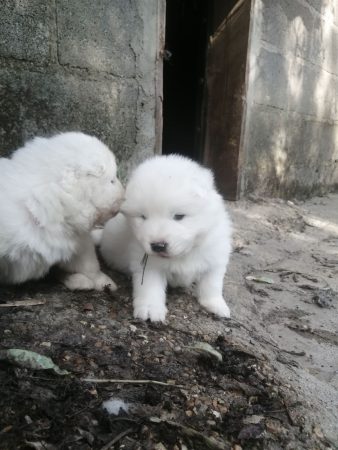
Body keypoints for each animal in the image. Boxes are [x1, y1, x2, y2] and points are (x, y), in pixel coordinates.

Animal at [98, 155, 232, 320]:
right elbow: (150, 287)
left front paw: (216, 305)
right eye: (143, 217)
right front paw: (150, 310)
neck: (184, 254)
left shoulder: (215, 257)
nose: (158, 246)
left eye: (179, 216)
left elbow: (211, 284)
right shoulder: (149, 265)